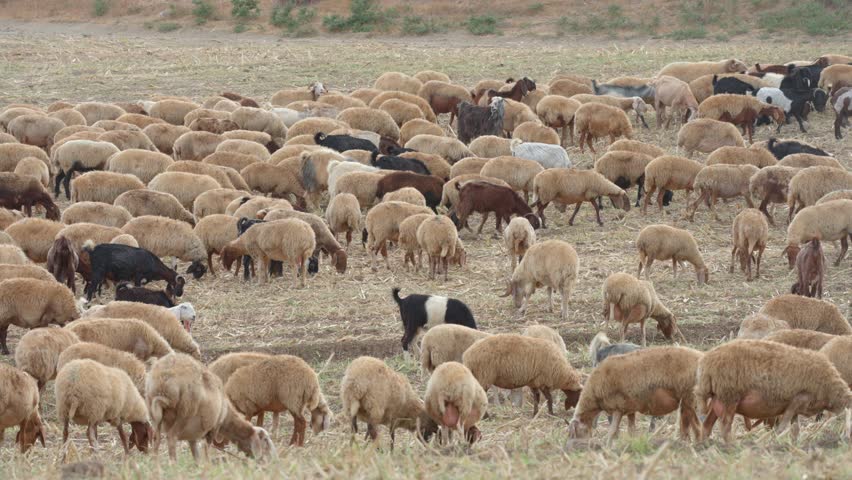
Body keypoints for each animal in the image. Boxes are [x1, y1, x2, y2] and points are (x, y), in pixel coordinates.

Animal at [696, 339, 851, 443]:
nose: (846, 439)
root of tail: (705, 365)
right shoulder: (799, 398)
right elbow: (783, 427)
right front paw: (774, 441)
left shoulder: (797, 407)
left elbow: (795, 428)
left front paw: (793, 445)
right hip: (729, 397)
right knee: (725, 426)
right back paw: (731, 446)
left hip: (719, 399)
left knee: (707, 425)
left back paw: (705, 446)